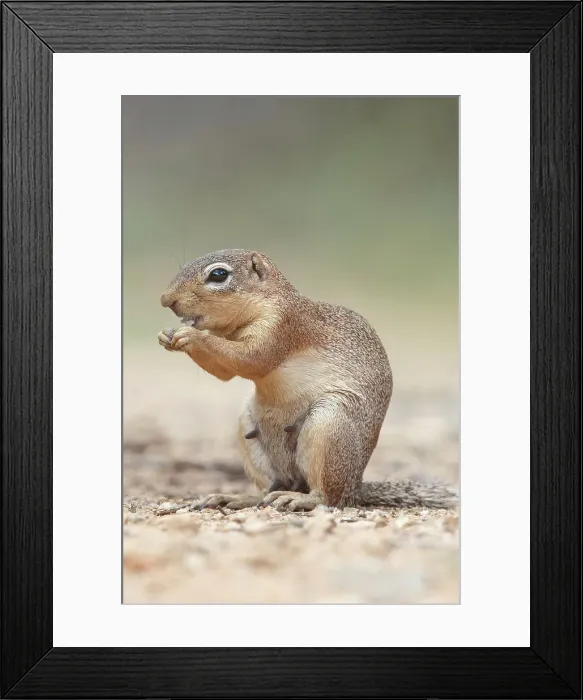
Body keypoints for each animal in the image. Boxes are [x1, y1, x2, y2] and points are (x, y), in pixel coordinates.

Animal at [158, 249, 458, 512]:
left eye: (218, 275)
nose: (165, 300)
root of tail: (356, 487)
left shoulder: (284, 326)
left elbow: (251, 358)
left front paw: (191, 337)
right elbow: (225, 371)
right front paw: (166, 336)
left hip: (329, 425)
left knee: (329, 497)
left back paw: (301, 499)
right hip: (249, 429)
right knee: (270, 489)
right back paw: (238, 498)